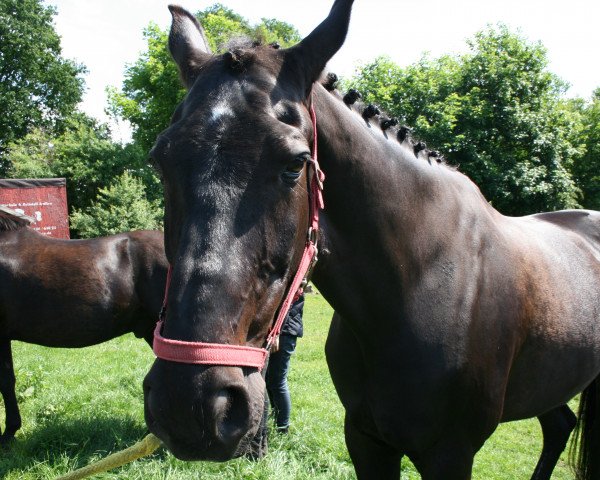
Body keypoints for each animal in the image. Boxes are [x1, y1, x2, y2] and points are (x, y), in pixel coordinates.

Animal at [142, 1, 600, 478]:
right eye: (160, 160)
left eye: (295, 164)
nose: (190, 403)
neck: (419, 284)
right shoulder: (365, 439)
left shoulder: (451, 454)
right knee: (559, 424)